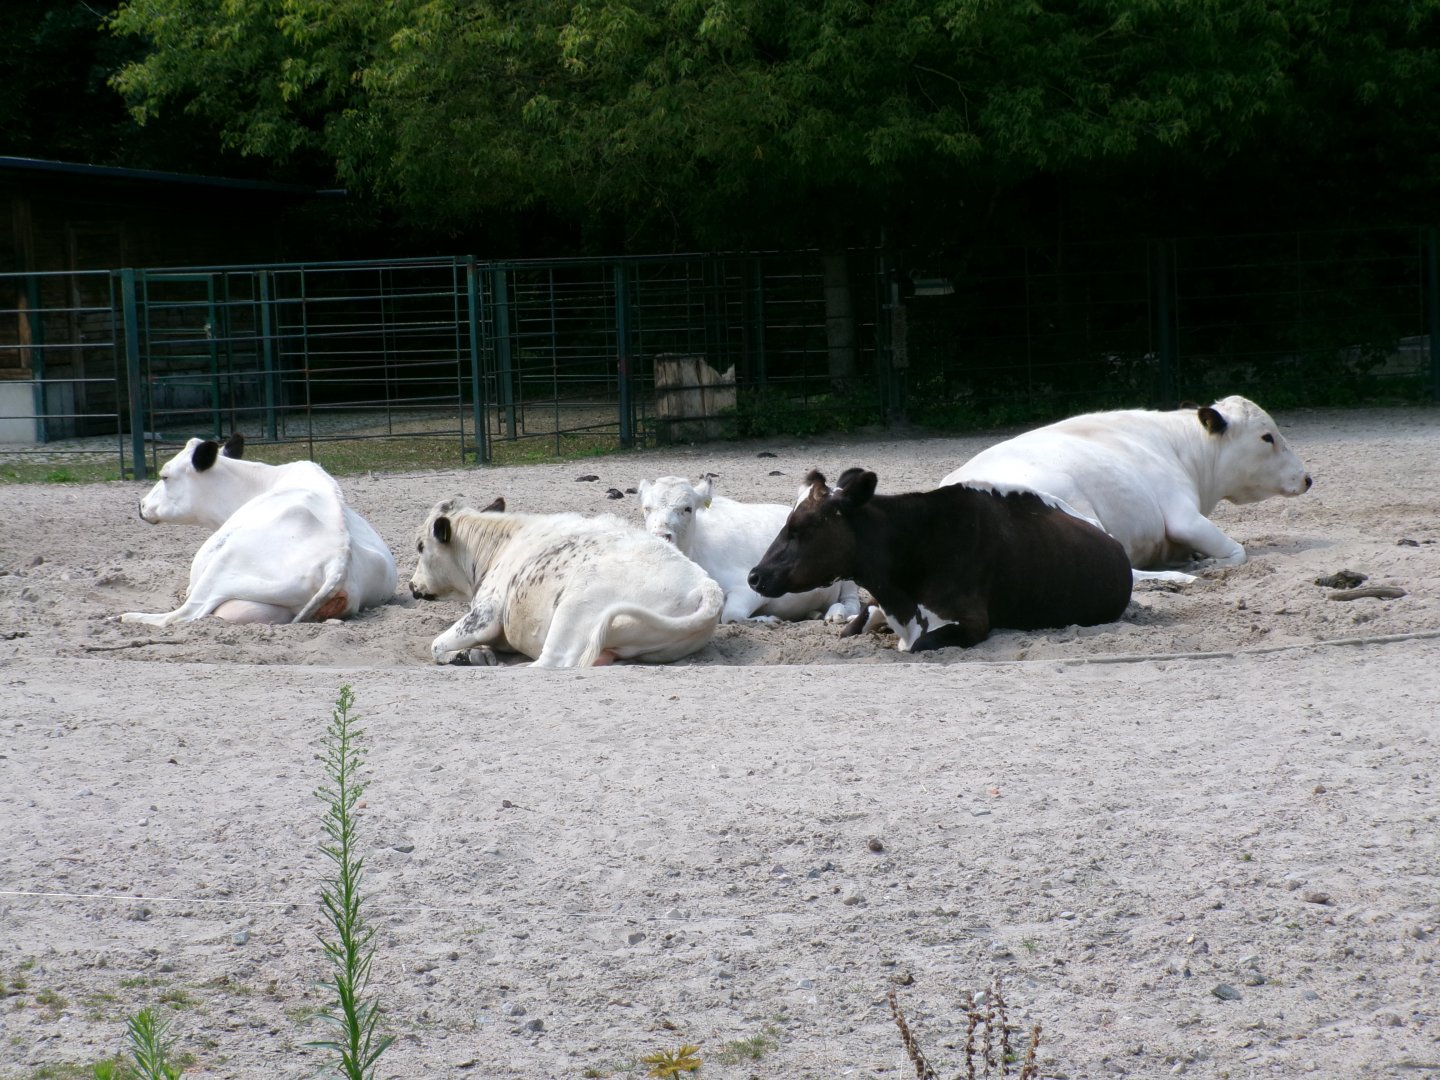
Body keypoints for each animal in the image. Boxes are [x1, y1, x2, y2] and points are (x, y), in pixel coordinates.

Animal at [120, 435, 397, 626]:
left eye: (165, 476)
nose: (141, 505)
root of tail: (340, 559)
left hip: (223, 565)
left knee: (180, 615)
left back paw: (128, 617)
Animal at [409, 498, 724, 667]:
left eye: (420, 546)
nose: (412, 586)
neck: (503, 545)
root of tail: (706, 586)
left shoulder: (486, 613)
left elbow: (436, 645)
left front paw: (468, 655)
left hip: (575, 607)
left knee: (551, 662)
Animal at [637, 474, 863, 624]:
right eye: (646, 508)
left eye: (687, 508)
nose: (662, 534)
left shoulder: (749, 587)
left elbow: (731, 616)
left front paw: (766, 619)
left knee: (851, 602)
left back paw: (837, 613)